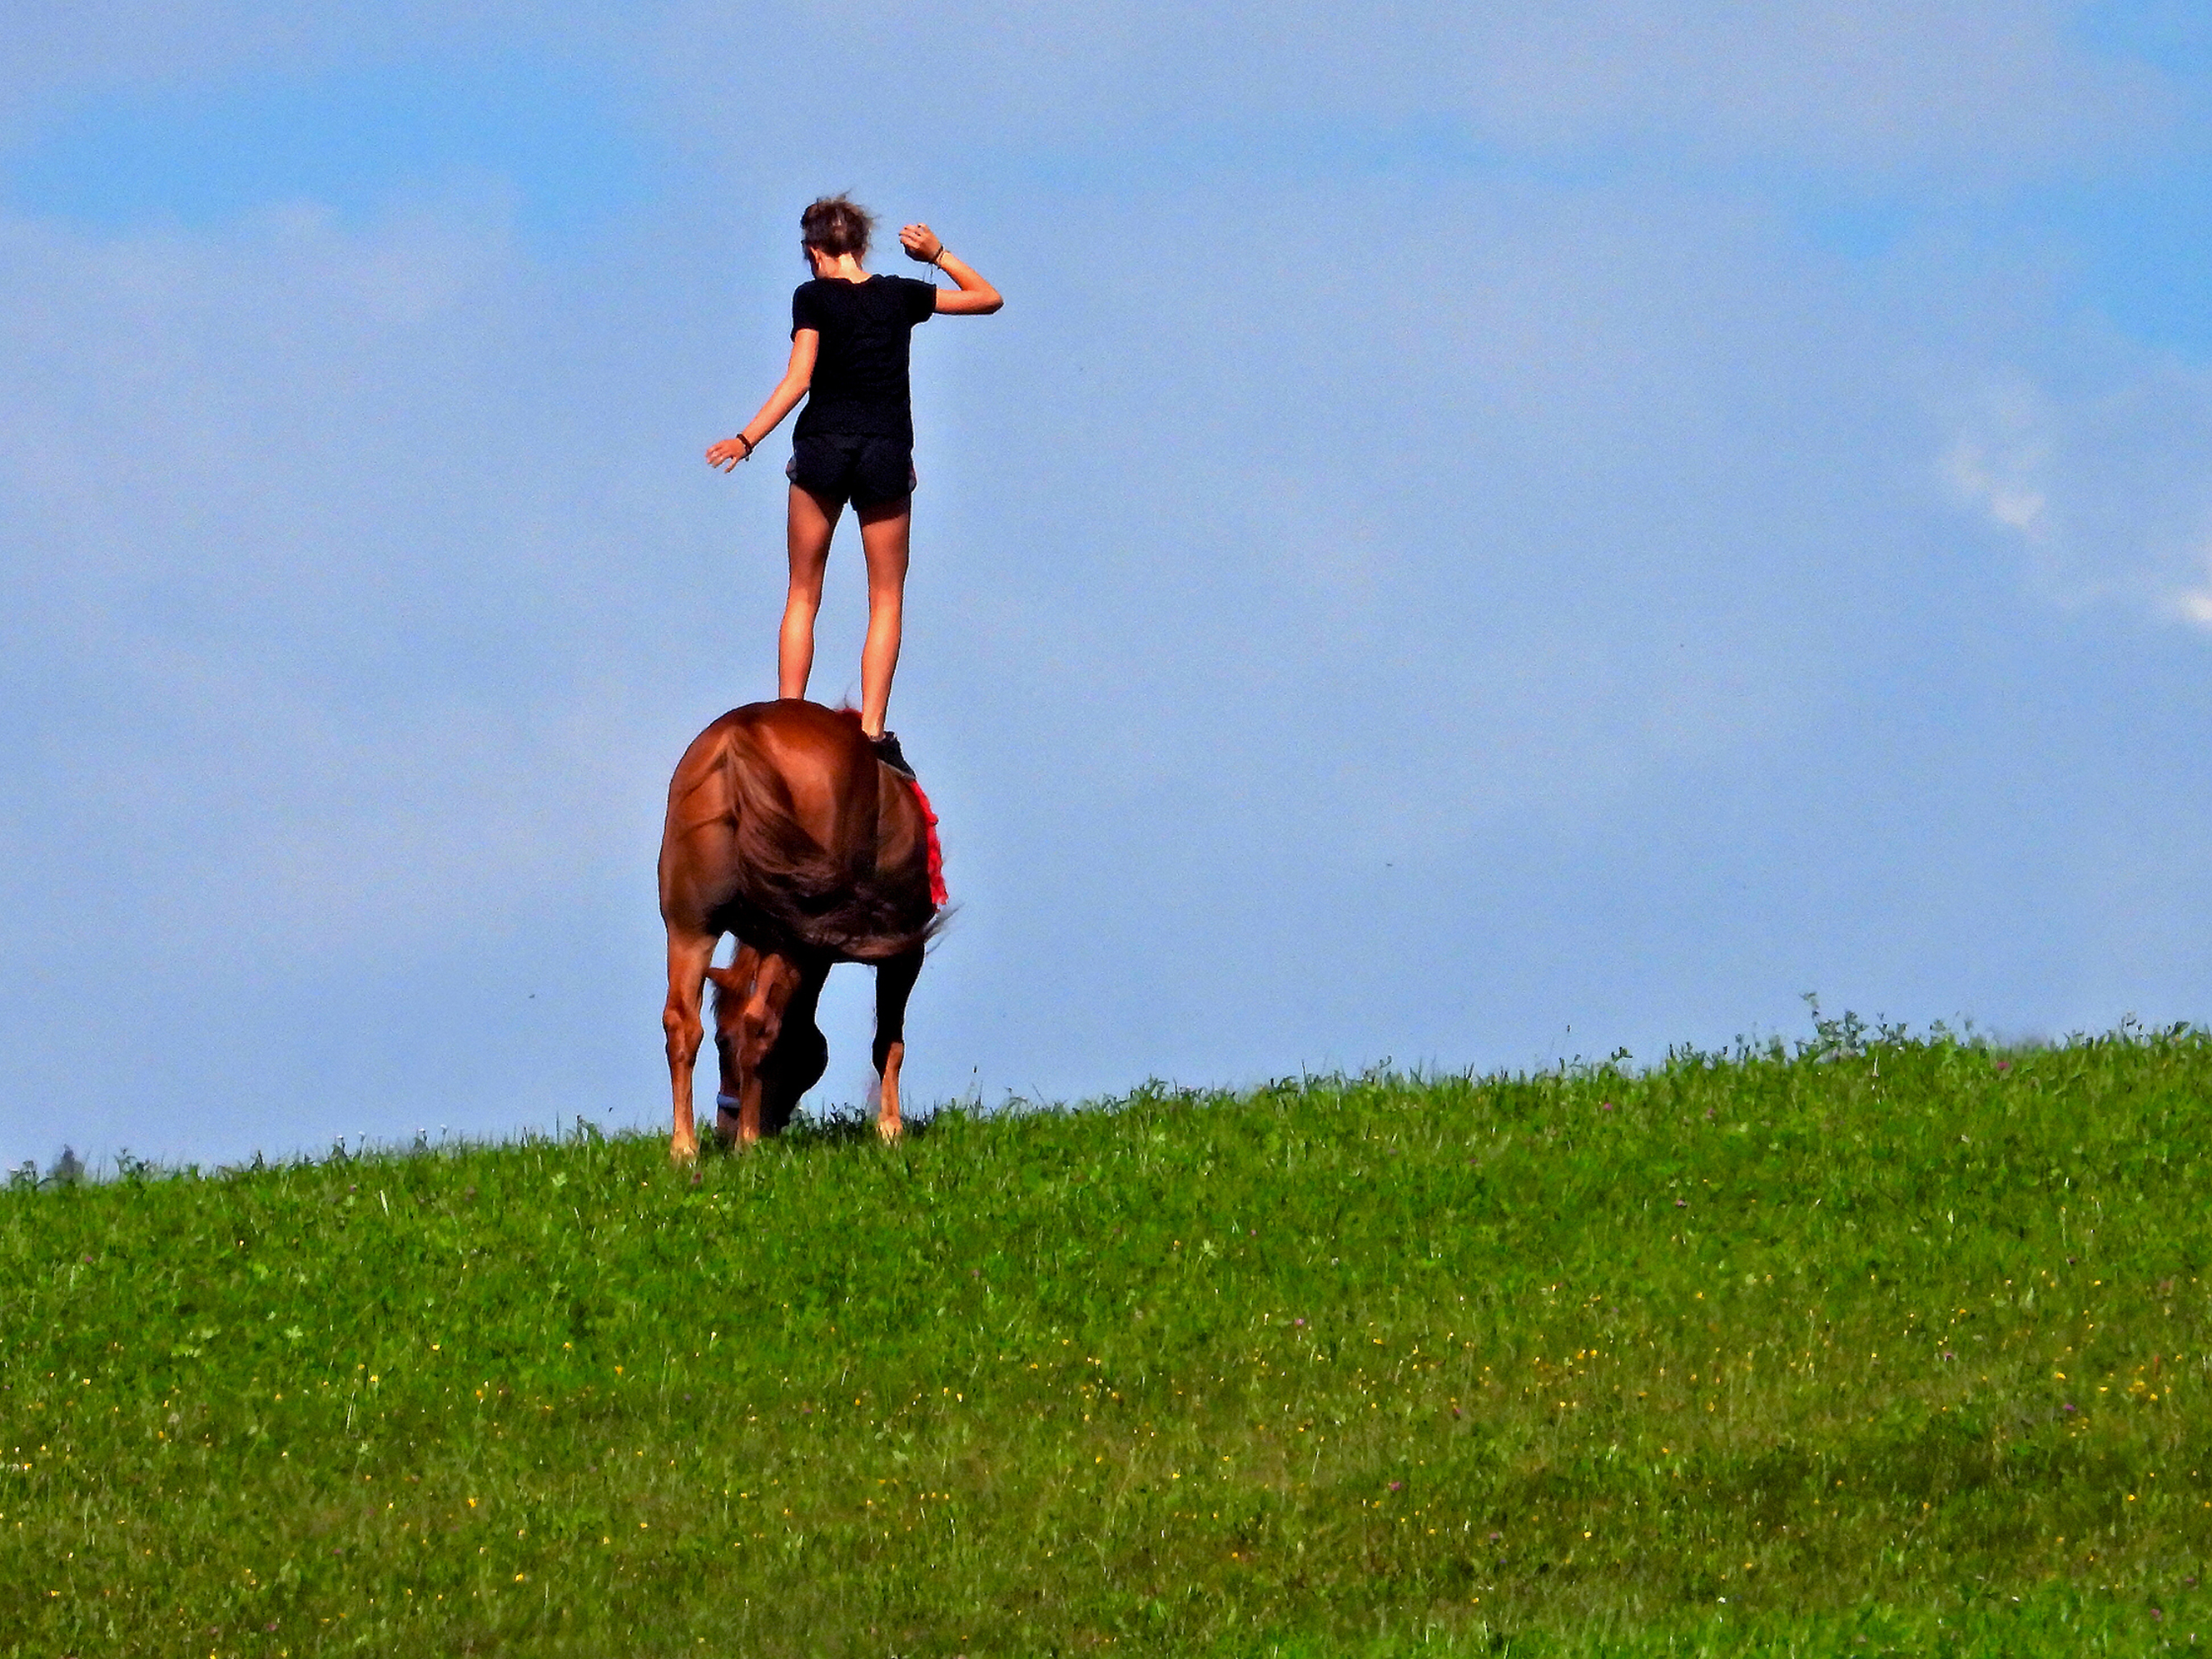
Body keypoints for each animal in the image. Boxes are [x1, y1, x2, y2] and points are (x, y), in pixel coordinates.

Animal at [650, 698, 937, 1159]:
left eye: (722, 1043)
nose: (725, 1127)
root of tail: (738, 738)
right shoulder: (905, 951)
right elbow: (888, 1041)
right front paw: (891, 1129)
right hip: (792, 937)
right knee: (760, 1021)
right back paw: (748, 1142)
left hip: (689, 927)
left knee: (681, 1022)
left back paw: (686, 1147)